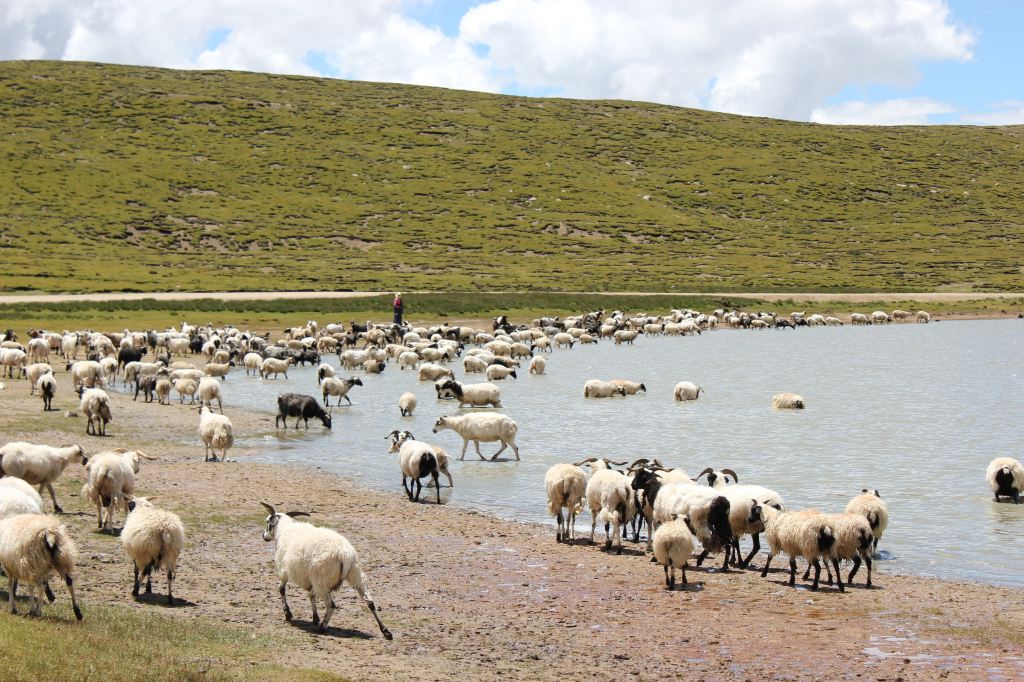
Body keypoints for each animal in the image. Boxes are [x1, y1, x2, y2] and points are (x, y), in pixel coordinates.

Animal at [260, 499, 391, 638]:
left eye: (267, 522)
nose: (264, 536)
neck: (284, 530)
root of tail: (345, 555)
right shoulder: (310, 580)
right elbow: (311, 596)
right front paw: (315, 617)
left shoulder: (284, 570)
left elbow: (281, 589)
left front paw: (288, 614)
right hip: (355, 574)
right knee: (370, 602)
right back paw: (386, 631)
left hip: (321, 580)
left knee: (332, 605)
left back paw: (322, 627)